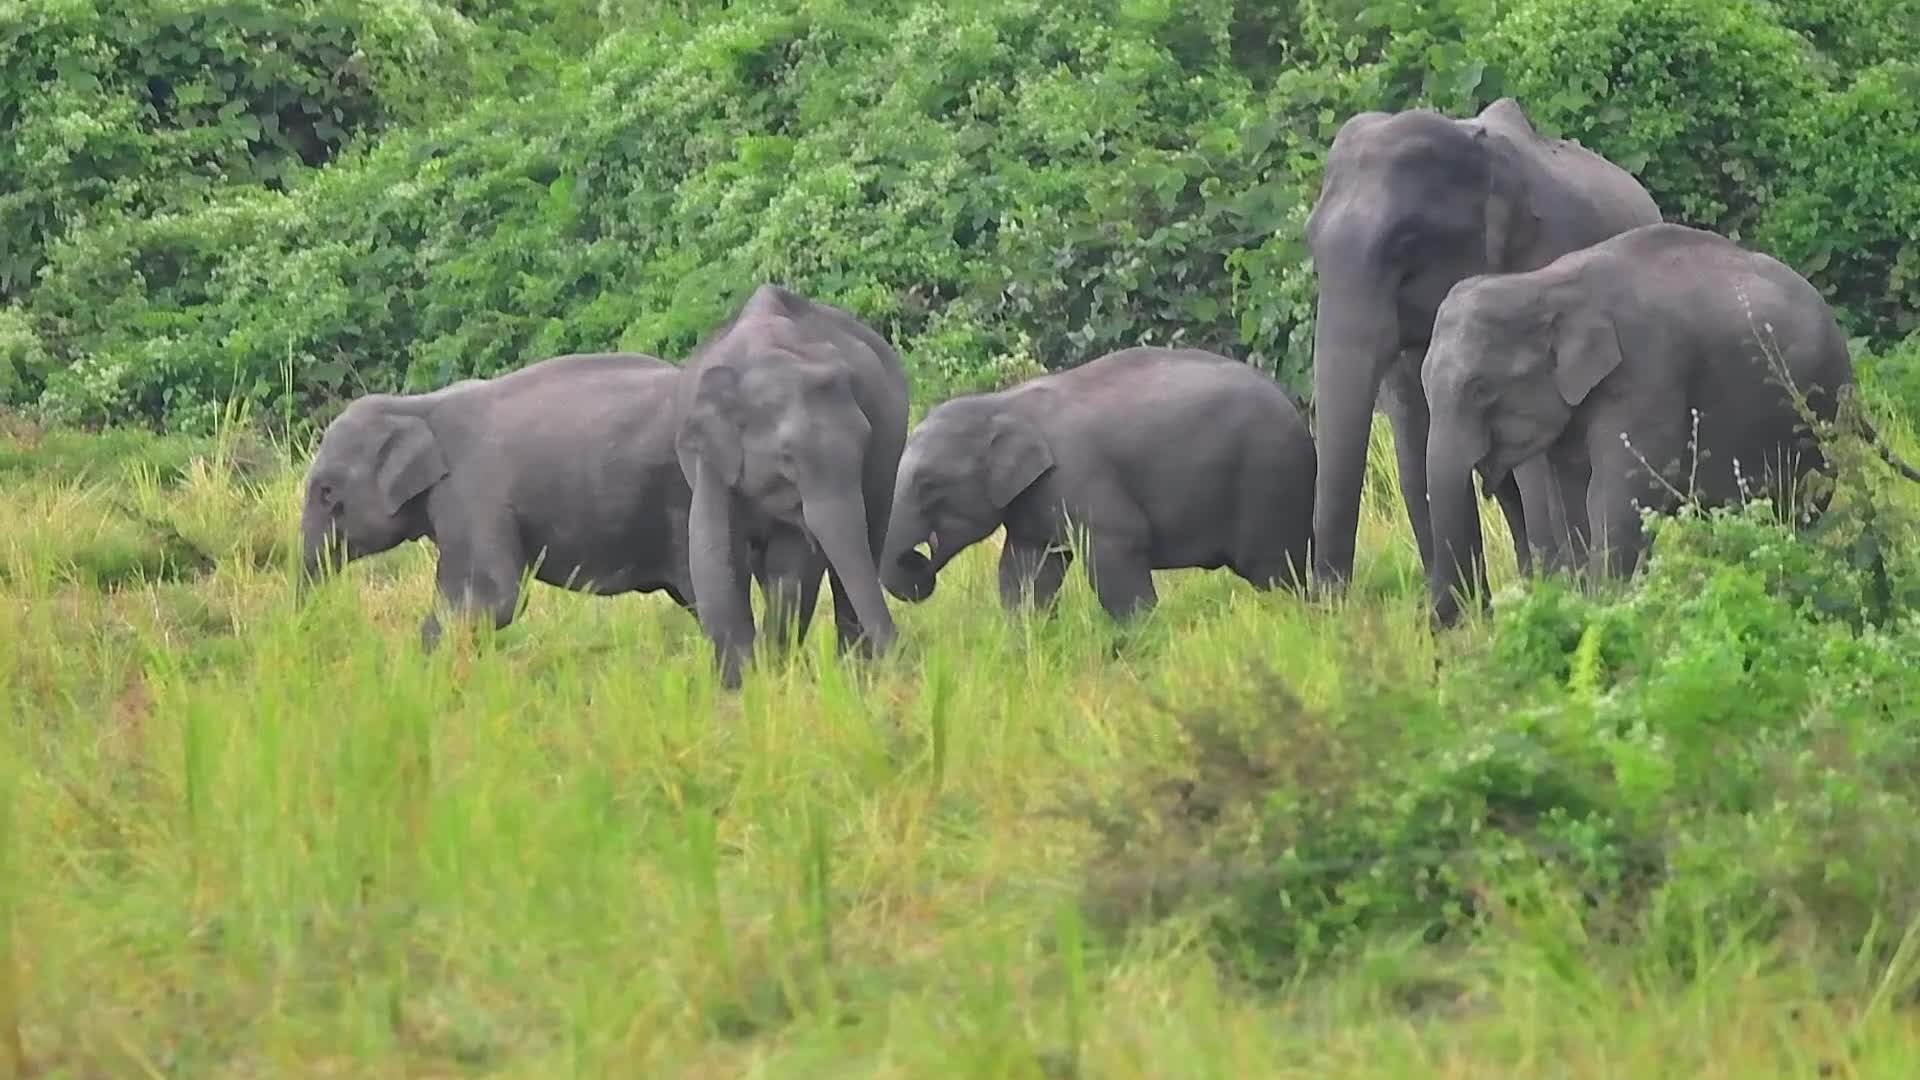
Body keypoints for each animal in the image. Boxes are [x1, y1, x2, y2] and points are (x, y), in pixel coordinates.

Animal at [671, 283, 910, 689]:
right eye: (786, 456)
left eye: (865, 442)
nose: (904, 657)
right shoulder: (710, 456)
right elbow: (712, 551)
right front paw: (742, 686)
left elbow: (791, 568)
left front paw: (770, 676)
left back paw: (853, 669)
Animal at [878, 345, 1317, 620]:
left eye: (928, 484)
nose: (915, 561)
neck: (1001, 402)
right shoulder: (1032, 504)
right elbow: (1024, 570)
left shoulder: (1080, 476)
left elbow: (1117, 551)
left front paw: (1141, 636)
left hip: (1270, 478)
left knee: (1274, 570)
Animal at [1420, 222, 1894, 626]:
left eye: (1480, 388)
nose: (1474, 621)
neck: (1545, 284)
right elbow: (1570, 499)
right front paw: (1580, 605)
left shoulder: (1648, 371)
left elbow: (1617, 497)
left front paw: (1608, 610)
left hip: (1816, 407)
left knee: (1799, 508)